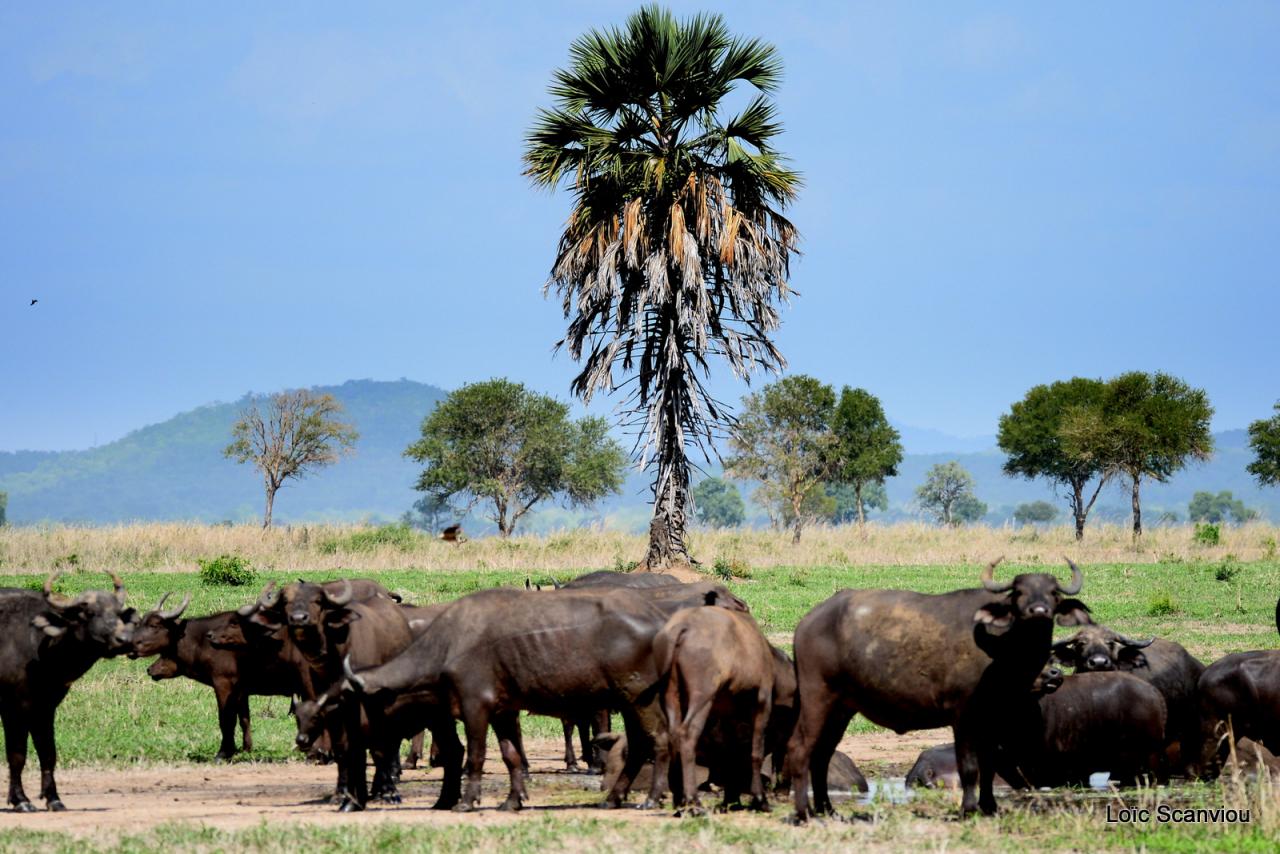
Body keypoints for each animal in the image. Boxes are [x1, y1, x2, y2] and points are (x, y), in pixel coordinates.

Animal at [1, 573, 133, 809]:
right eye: (90, 613)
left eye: (118, 613)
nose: (124, 639)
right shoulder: (14, 708)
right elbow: (17, 755)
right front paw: (20, 800)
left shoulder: (45, 708)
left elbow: (48, 753)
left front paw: (53, 798)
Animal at [655, 606, 773, 814]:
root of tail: (683, 628)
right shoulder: (762, 702)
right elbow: (756, 751)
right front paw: (760, 798)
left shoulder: (728, 716)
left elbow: (731, 752)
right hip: (702, 697)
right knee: (687, 735)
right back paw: (693, 801)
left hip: (670, 694)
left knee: (672, 735)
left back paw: (679, 799)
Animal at [783, 558, 1085, 819]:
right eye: (1019, 593)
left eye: (1053, 593)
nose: (1039, 612)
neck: (1002, 648)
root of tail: (807, 623)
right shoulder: (964, 717)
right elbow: (970, 767)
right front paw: (968, 809)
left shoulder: (990, 720)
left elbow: (989, 765)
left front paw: (989, 806)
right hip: (817, 697)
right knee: (800, 749)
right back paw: (804, 812)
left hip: (842, 709)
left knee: (822, 755)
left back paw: (827, 809)